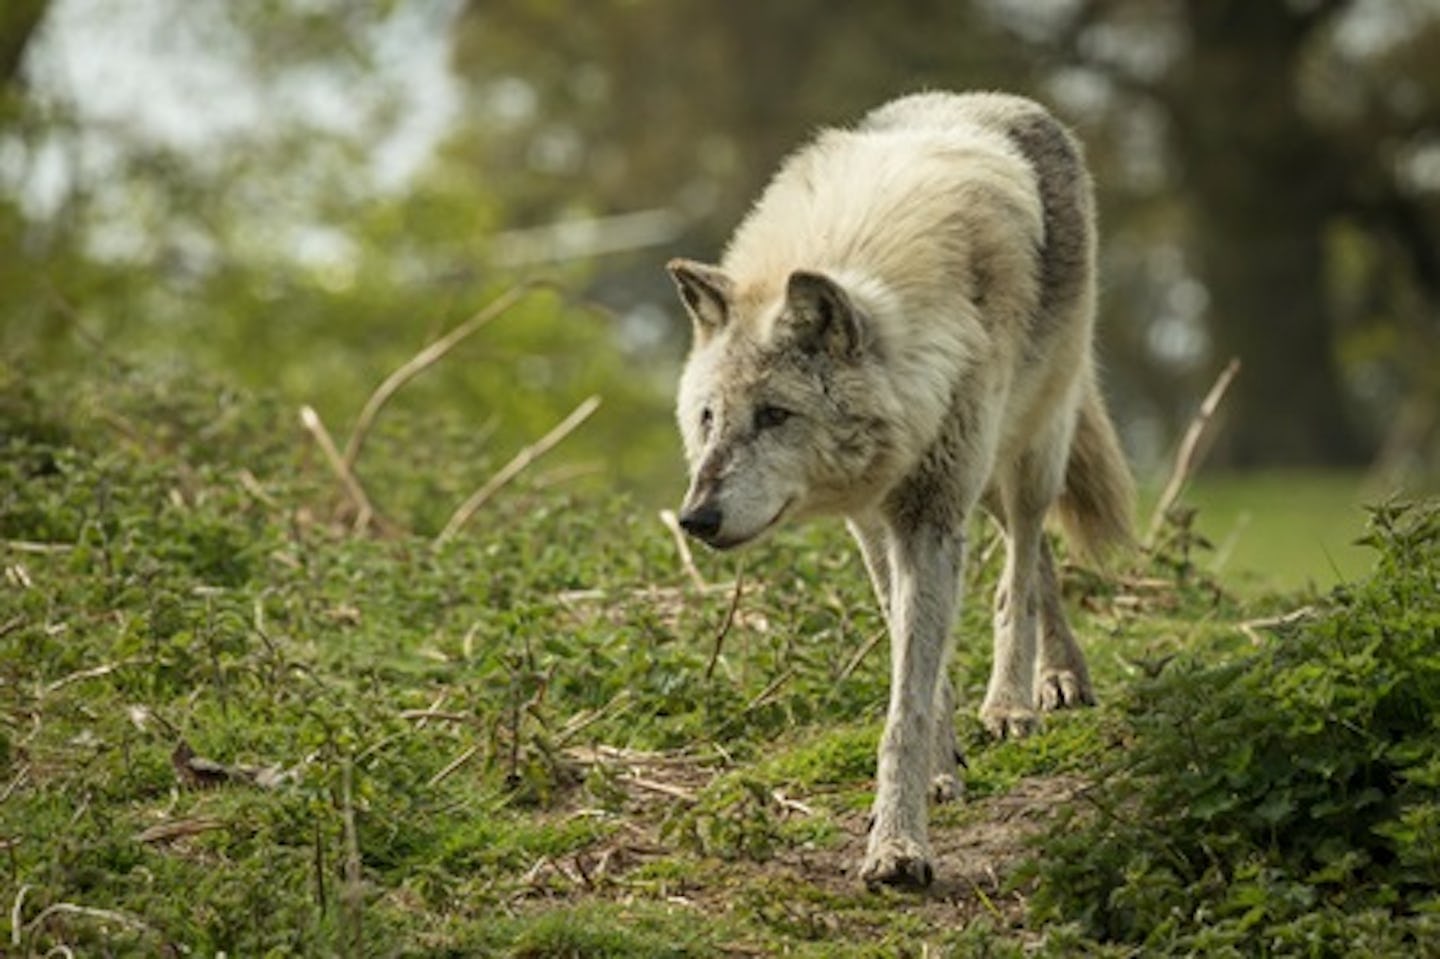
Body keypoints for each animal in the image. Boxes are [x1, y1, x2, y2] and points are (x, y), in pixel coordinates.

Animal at [665, 93, 1134, 887]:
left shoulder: (928, 515)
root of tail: (1006, 101)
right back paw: (1061, 675)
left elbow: (906, 700)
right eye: (709, 418)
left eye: (775, 415)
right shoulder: (874, 518)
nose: (696, 518)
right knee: (1033, 561)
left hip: (1029, 448)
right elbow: (915, 661)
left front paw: (898, 845)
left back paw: (1016, 699)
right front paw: (941, 772)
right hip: (983, 479)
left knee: (1021, 565)